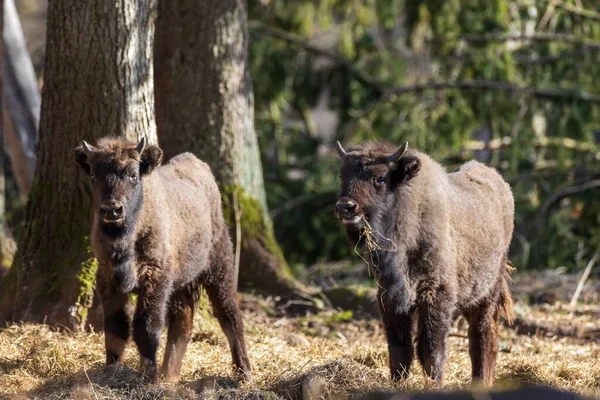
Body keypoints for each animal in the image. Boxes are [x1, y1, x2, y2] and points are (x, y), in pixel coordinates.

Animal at [73, 137, 251, 382]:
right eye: (93, 176)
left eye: (133, 175)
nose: (111, 210)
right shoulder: (108, 278)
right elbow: (116, 327)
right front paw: (112, 369)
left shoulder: (155, 279)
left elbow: (146, 327)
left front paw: (149, 375)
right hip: (181, 285)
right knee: (183, 321)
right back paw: (170, 374)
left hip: (220, 268)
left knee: (230, 315)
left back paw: (244, 372)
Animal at [336, 141, 512, 388]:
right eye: (342, 175)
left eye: (380, 178)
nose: (346, 207)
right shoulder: (390, 298)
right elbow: (399, 349)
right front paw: (397, 383)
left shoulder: (436, 295)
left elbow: (430, 349)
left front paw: (434, 384)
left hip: (487, 295)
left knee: (482, 337)